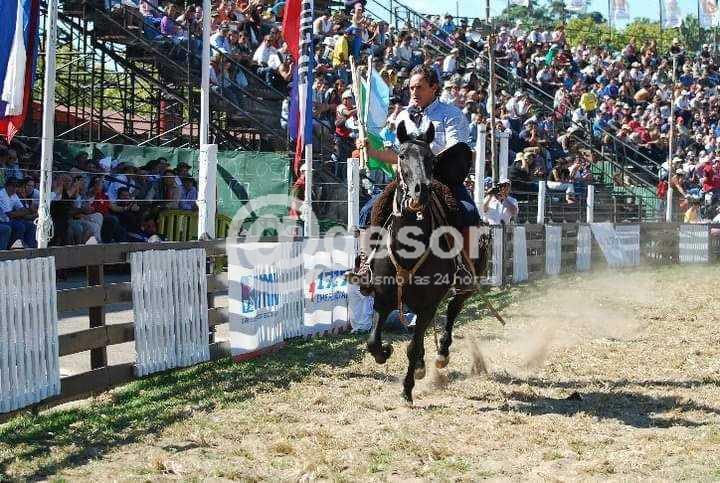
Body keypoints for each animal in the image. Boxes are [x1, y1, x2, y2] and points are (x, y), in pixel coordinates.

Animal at [365, 121, 491, 403]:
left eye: (431, 159)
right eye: (401, 155)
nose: (420, 191)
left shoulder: (428, 304)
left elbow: (412, 346)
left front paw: (407, 389)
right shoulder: (383, 297)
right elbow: (373, 342)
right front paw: (386, 351)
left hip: (466, 286)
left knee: (453, 310)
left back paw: (441, 354)